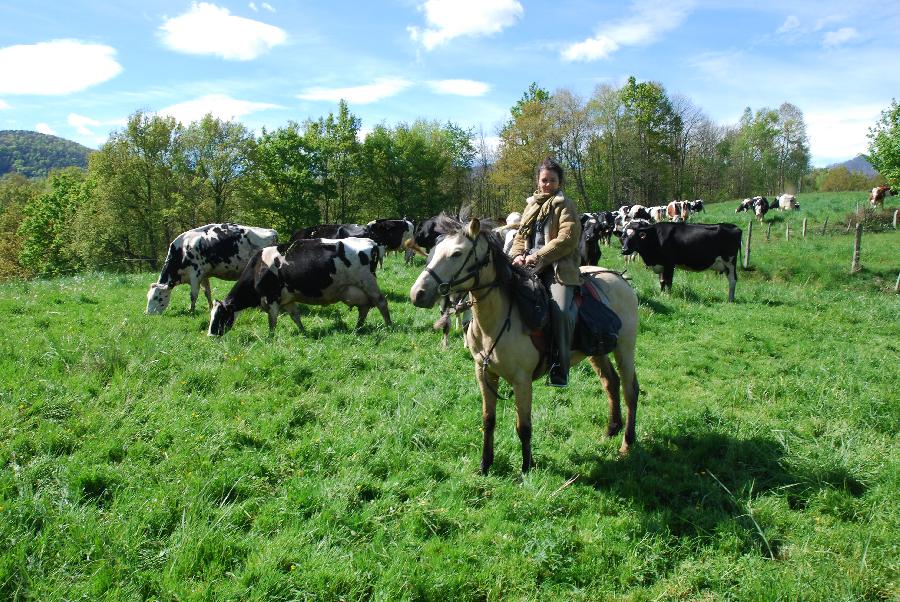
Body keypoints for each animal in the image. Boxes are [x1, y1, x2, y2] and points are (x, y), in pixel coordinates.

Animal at [146, 221, 278, 314]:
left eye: (157, 297)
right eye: (148, 296)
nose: (147, 313)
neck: (182, 250)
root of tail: (272, 231)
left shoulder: (195, 274)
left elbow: (193, 294)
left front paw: (191, 310)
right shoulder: (204, 275)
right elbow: (207, 292)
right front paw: (210, 308)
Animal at [207, 236, 390, 338]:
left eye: (221, 316)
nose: (210, 335)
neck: (259, 267)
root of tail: (370, 241)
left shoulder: (272, 297)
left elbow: (272, 321)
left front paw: (270, 338)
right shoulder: (288, 299)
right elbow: (295, 316)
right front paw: (303, 332)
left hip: (368, 282)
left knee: (381, 302)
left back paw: (389, 326)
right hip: (357, 289)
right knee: (364, 308)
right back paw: (357, 328)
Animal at [412, 216, 636, 474]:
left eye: (457, 253)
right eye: (434, 249)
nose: (417, 293)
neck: (497, 319)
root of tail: (620, 279)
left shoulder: (522, 380)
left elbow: (524, 426)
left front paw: (526, 468)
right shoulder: (484, 373)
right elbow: (488, 420)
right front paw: (485, 464)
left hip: (625, 348)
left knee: (630, 390)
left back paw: (627, 443)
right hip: (597, 352)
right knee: (611, 383)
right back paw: (611, 430)